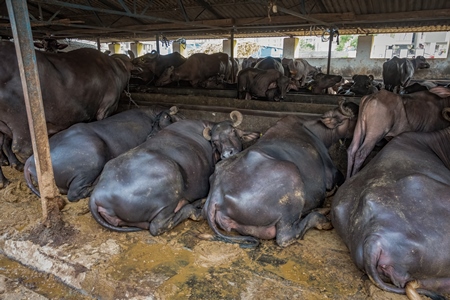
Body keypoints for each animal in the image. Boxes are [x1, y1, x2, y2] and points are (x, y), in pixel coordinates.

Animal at [89, 111, 260, 236]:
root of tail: (97, 194)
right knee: (158, 226)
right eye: (215, 141)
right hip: (170, 181)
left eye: (233, 132)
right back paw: (195, 208)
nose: (227, 154)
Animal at [203, 102, 358, 247]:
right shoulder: (333, 174)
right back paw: (323, 219)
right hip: (291, 179)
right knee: (286, 236)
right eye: (354, 117)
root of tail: (216, 193)